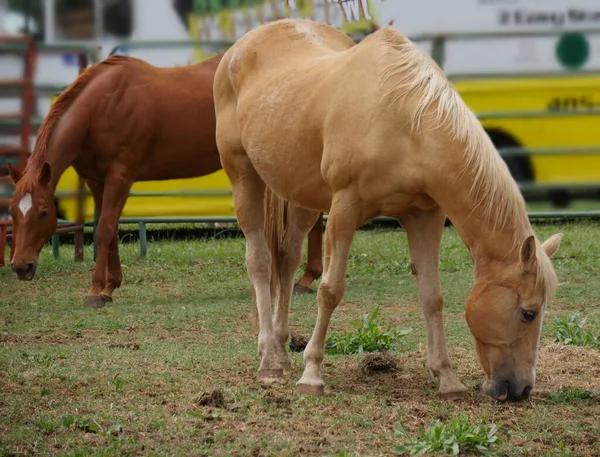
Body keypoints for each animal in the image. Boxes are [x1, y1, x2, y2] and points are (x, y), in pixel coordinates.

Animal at [5, 51, 324, 306]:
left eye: (43, 212)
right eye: (12, 212)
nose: (21, 267)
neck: (103, 106)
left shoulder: (120, 176)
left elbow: (104, 230)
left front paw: (95, 291)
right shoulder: (98, 181)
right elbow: (109, 229)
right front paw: (110, 286)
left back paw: (307, 277)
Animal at [214, 17, 564, 400]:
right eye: (528, 313)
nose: (521, 389)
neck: (405, 122)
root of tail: (242, 46)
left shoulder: (425, 216)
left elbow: (432, 296)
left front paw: (447, 379)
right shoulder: (345, 208)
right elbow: (330, 290)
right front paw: (312, 375)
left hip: (301, 195)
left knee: (288, 259)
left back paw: (280, 351)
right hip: (243, 176)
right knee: (260, 262)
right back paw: (269, 361)